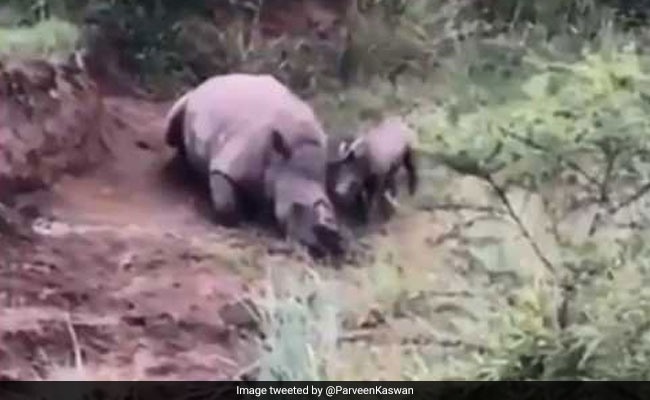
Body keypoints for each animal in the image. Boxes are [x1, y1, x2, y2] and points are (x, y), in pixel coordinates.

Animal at [164, 73, 343, 256]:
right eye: (296, 207)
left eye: (331, 208)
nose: (322, 248)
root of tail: (213, 79)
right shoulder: (228, 166)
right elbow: (226, 204)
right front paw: (242, 222)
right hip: (191, 99)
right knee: (171, 130)